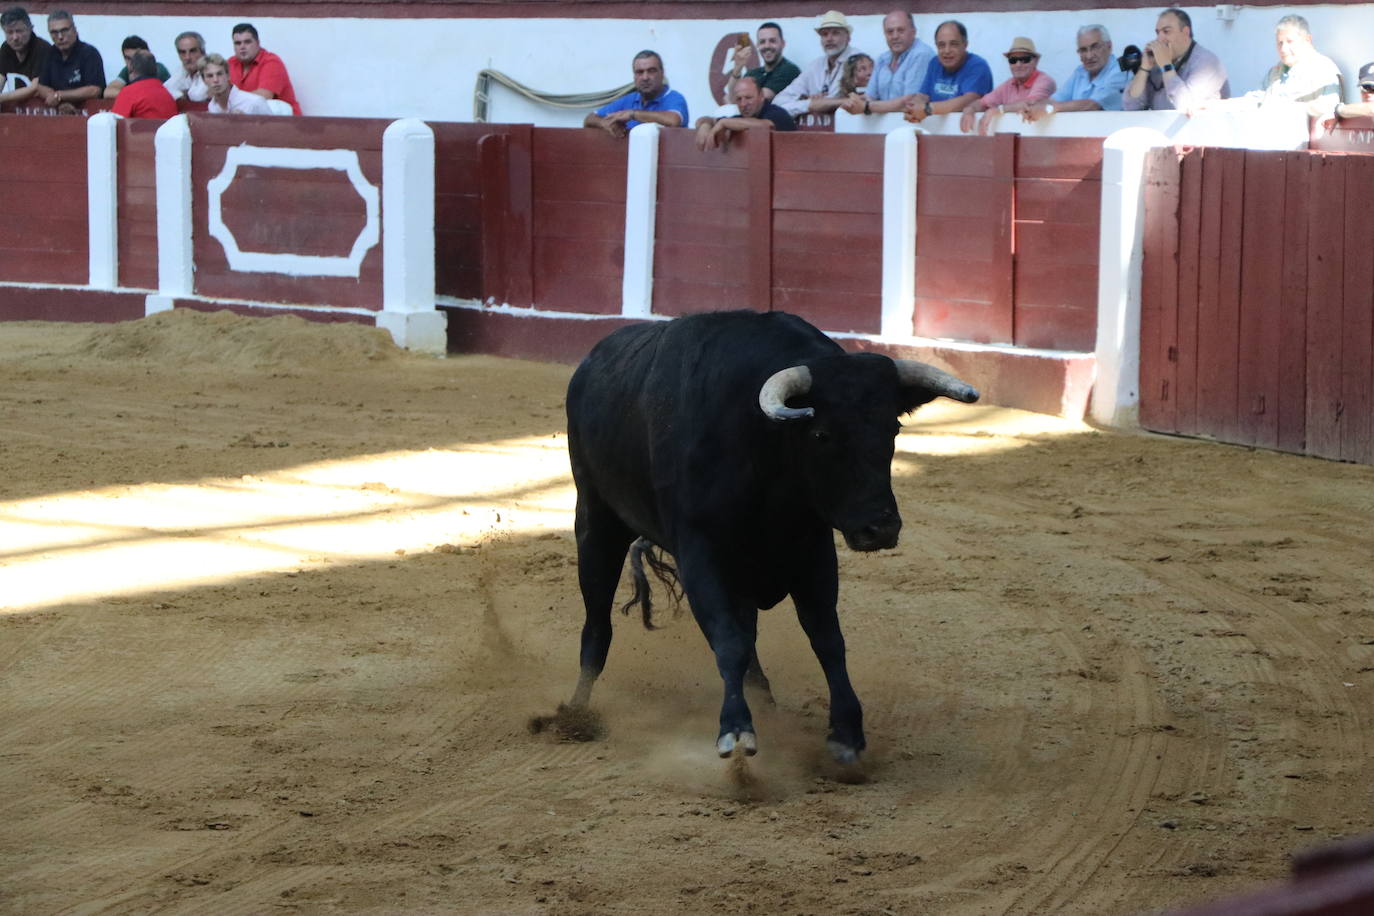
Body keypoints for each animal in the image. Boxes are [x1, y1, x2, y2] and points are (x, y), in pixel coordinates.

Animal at [563, 311, 983, 763]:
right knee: (597, 624)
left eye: (894, 428)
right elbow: (728, 641)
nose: (881, 527)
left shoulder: (813, 552)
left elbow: (826, 638)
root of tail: (589, 364)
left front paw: (846, 733)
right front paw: (736, 730)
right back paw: (574, 713)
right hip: (595, 522)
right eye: (820, 434)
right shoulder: (700, 554)